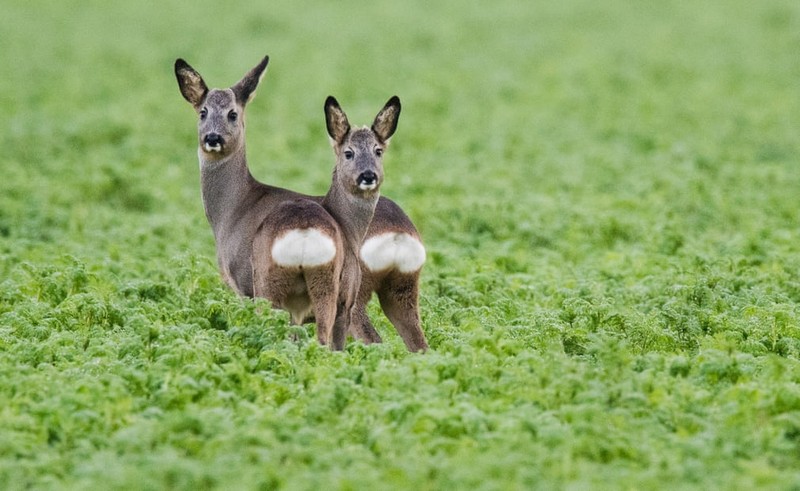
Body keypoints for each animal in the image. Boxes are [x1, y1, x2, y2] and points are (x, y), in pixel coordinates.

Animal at [173, 55, 428, 352]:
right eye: (202, 112)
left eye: (232, 114)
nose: (212, 138)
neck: (233, 209)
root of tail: (399, 233)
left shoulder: (244, 286)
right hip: (401, 289)